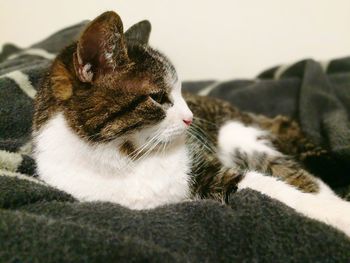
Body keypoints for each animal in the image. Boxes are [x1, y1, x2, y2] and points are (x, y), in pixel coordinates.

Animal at [32, 10, 350, 237]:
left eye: (181, 92)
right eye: (159, 97)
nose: (191, 117)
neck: (125, 158)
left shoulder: (209, 166)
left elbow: (280, 189)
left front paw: (338, 213)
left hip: (239, 135)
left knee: (300, 174)